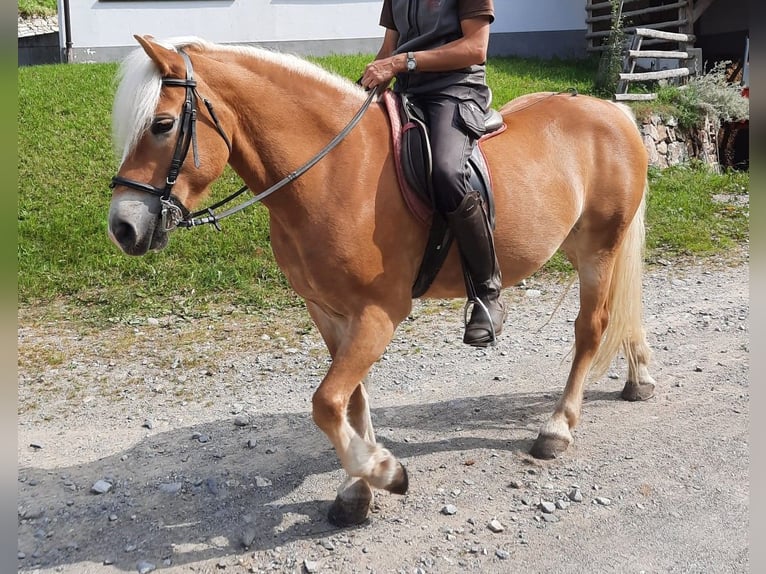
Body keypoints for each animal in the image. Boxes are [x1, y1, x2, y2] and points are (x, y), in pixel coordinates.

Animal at [108, 36, 660, 528]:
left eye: (161, 125)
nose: (123, 227)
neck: (334, 170)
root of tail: (612, 113)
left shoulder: (378, 314)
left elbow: (326, 402)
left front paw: (384, 470)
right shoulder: (328, 312)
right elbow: (350, 399)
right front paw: (357, 490)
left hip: (598, 250)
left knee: (592, 328)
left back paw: (558, 428)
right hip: (581, 246)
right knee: (627, 310)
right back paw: (639, 378)